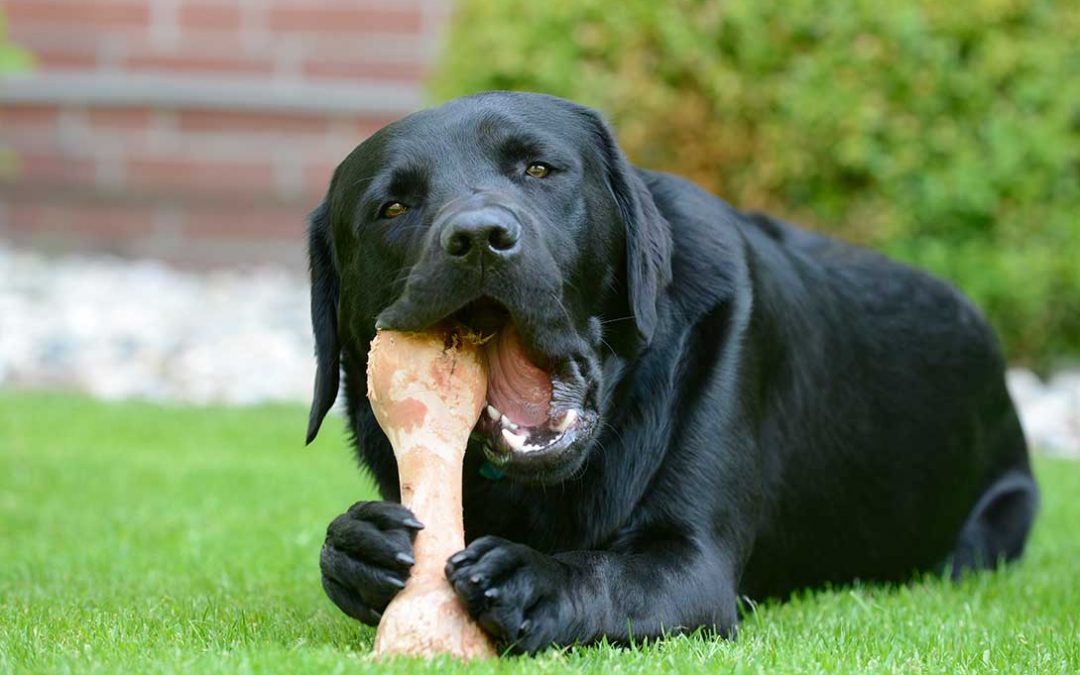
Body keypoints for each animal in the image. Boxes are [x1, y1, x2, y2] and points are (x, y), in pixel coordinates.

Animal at [306, 90, 1036, 652]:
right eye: (392, 207)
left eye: (539, 168)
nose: (479, 237)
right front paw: (360, 545)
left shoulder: (693, 564)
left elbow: (604, 572)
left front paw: (532, 577)